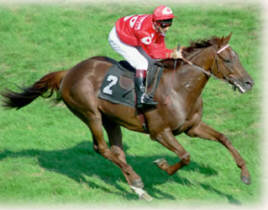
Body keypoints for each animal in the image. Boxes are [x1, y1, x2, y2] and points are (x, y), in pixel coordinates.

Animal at [1, 32, 254, 200]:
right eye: (228, 59)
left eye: (238, 57)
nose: (249, 82)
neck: (179, 87)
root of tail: (69, 71)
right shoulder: (160, 132)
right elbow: (184, 156)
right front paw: (163, 165)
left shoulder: (192, 127)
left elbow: (224, 138)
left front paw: (245, 175)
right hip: (90, 114)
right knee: (102, 148)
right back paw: (138, 181)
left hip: (111, 120)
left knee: (117, 152)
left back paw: (137, 187)